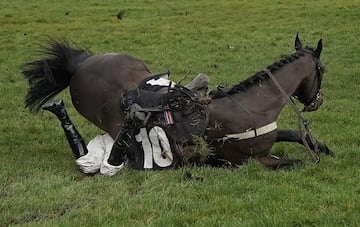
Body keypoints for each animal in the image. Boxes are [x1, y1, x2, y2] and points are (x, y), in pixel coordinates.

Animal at [22, 33, 334, 168]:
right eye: (322, 69)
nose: (317, 100)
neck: (252, 105)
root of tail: (79, 66)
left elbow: (295, 134)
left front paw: (325, 147)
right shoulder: (255, 161)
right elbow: (294, 162)